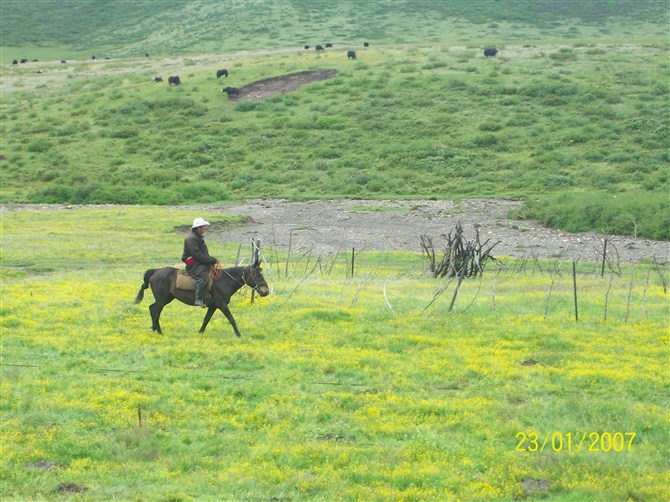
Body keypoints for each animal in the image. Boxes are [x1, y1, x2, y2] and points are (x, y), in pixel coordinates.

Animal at [134, 262, 270, 338]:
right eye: (257, 275)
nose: (266, 291)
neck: (224, 280)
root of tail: (155, 271)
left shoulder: (213, 306)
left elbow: (206, 320)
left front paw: (200, 333)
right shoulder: (222, 305)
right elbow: (232, 319)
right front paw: (239, 335)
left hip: (167, 298)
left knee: (152, 308)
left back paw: (154, 328)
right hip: (162, 299)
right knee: (155, 311)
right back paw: (159, 331)